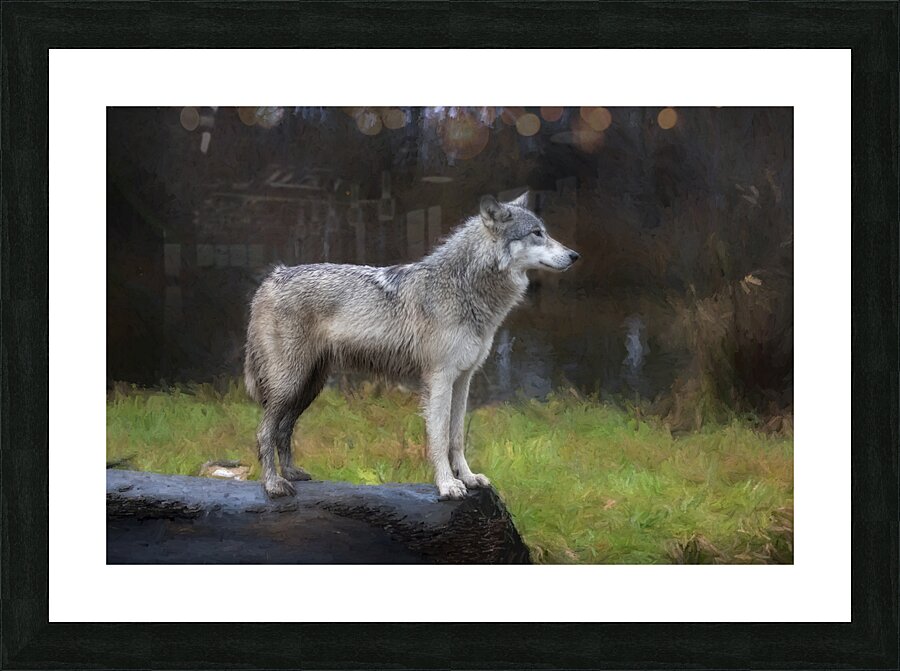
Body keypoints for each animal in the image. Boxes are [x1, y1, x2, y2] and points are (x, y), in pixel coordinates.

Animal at [244, 192, 579, 499]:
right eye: (537, 233)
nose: (575, 255)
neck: (463, 287)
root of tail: (271, 279)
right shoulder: (440, 379)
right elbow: (439, 438)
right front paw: (447, 485)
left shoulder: (463, 380)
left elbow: (457, 437)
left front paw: (468, 478)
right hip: (290, 384)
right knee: (264, 431)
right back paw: (273, 484)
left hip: (309, 387)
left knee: (283, 429)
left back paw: (291, 473)